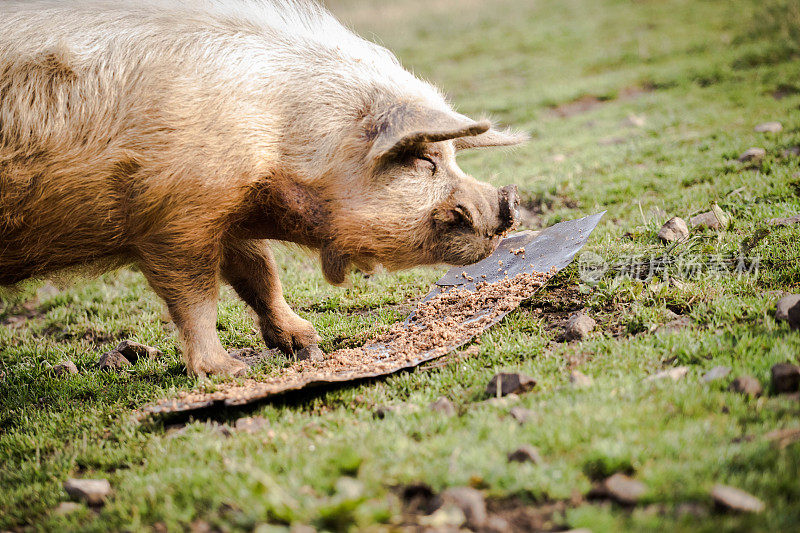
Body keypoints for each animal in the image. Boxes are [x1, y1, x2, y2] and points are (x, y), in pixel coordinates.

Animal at [1, 0, 524, 376]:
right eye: (423, 158)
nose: (508, 202)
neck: (280, 144)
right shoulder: (175, 218)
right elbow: (194, 295)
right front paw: (228, 371)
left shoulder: (226, 212)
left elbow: (260, 273)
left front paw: (306, 343)